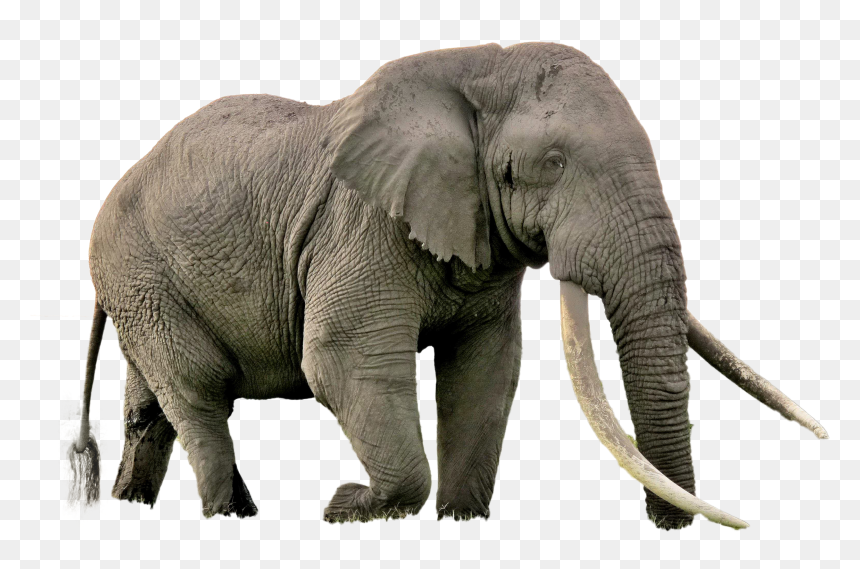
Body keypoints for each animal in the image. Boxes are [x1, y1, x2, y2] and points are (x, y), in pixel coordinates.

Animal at [67, 42, 827, 530]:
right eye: (552, 163)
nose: (668, 526)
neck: (477, 67)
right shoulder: (362, 224)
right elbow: (343, 361)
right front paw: (347, 509)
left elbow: (486, 371)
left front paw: (462, 523)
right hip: (140, 271)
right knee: (198, 390)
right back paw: (232, 517)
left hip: (144, 286)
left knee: (151, 407)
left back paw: (136, 506)